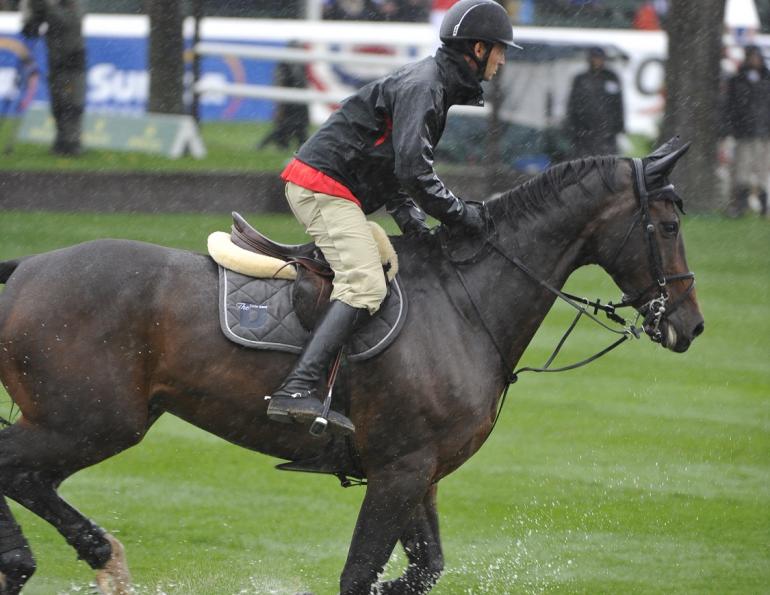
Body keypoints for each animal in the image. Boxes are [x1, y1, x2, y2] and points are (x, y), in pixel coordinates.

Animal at [0, 141, 704, 595]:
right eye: (669, 225)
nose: (690, 326)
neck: (464, 303)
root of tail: (27, 267)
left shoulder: (417, 472)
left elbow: (419, 570)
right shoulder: (400, 470)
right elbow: (362, 572)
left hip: (85, 424)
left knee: (28, 477)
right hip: (90, 422)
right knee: (17, 470)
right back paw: (66, 556)